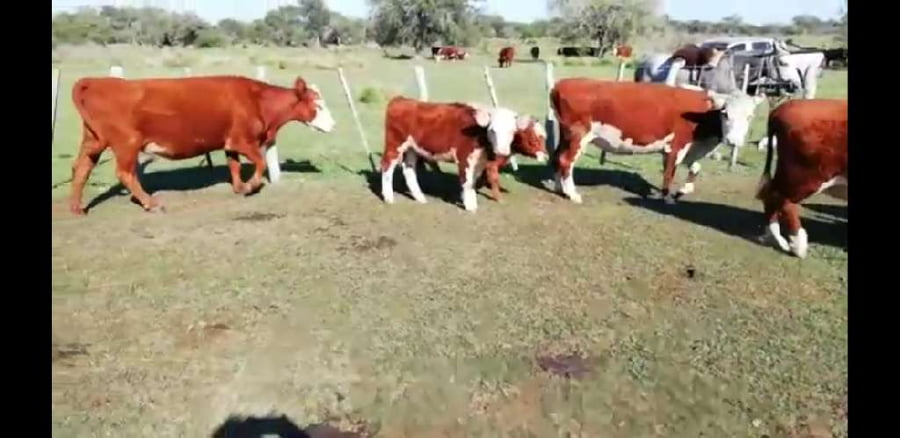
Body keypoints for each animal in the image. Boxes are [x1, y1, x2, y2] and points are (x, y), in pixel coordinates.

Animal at [68, 75, 335, 215]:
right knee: (124, 173)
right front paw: (251, 186)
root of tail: (99, 81)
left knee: (80, 169)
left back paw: (77, 208)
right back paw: (150, 202)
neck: (256, 99)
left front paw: (239, 186)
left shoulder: (230, 143)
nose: (333, 125)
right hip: (127, 144)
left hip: (93, 142)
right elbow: (259, 162)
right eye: (318, 105)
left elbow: (234, 165)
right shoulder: (243, 140)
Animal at [380, 97, 540, 212]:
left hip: (412, 149)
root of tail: (401, 99)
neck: (478, 132)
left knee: (409, 170)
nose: (502, 151)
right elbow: (467, 181)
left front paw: (466, 199)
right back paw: (389, 197)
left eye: (513, 131)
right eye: (492, 130)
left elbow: (472, 182)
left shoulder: (478, 162)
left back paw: (420, 197)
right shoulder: (464, 158)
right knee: (387, 166)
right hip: (394, 145)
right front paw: (470, 206)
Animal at [549, 78, 762, 204]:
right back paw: (572, 194)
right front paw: (667, 197)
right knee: (566, 161)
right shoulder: (677, 146)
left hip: (566, 135)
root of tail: (562, 84)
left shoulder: (687, 148)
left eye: (750, 116)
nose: (734, 140)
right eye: (725, 114)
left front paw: (683, 190)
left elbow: (695, 168)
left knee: (557, 157)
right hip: (578, 135)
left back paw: (560, 188)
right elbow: (669, 173)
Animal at [756, 99, 847, 259]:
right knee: (783, 200)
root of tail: (780, 108)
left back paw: (775, 238)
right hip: (805, 176)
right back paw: (798, 246)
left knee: (771, 196)